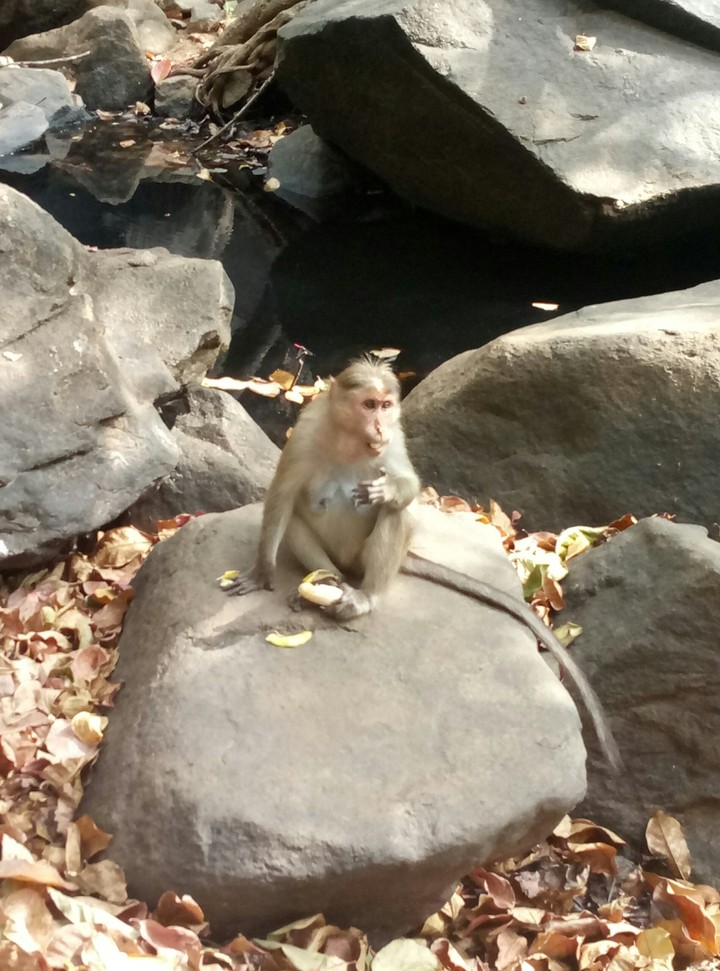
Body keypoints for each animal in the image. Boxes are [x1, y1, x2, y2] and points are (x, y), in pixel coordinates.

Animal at [224, 356, 620, 770]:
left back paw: (364, 597)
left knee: (394, 516)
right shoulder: (304, 433)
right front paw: (262, 572)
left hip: (370, 558)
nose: (379, 426)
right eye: (369, 404)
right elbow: (281, 497)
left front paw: (389, 490)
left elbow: (408, 487)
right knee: (297, 520)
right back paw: (328, 581)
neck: (349, 439)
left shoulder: (394, 439)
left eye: (386, 406)